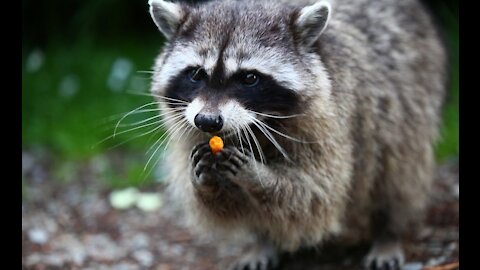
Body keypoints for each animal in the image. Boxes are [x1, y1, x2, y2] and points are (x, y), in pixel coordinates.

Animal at [145, 0, 446, 268]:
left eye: (249, 78)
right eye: (196, 73)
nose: (208, 121)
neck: (255, 124)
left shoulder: (332, 119)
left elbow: (317, 192)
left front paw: (259, 176)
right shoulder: (189, 126)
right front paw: (203, 182)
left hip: (409, 105)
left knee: (399, 172)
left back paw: (389, 232)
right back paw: (262, 241)